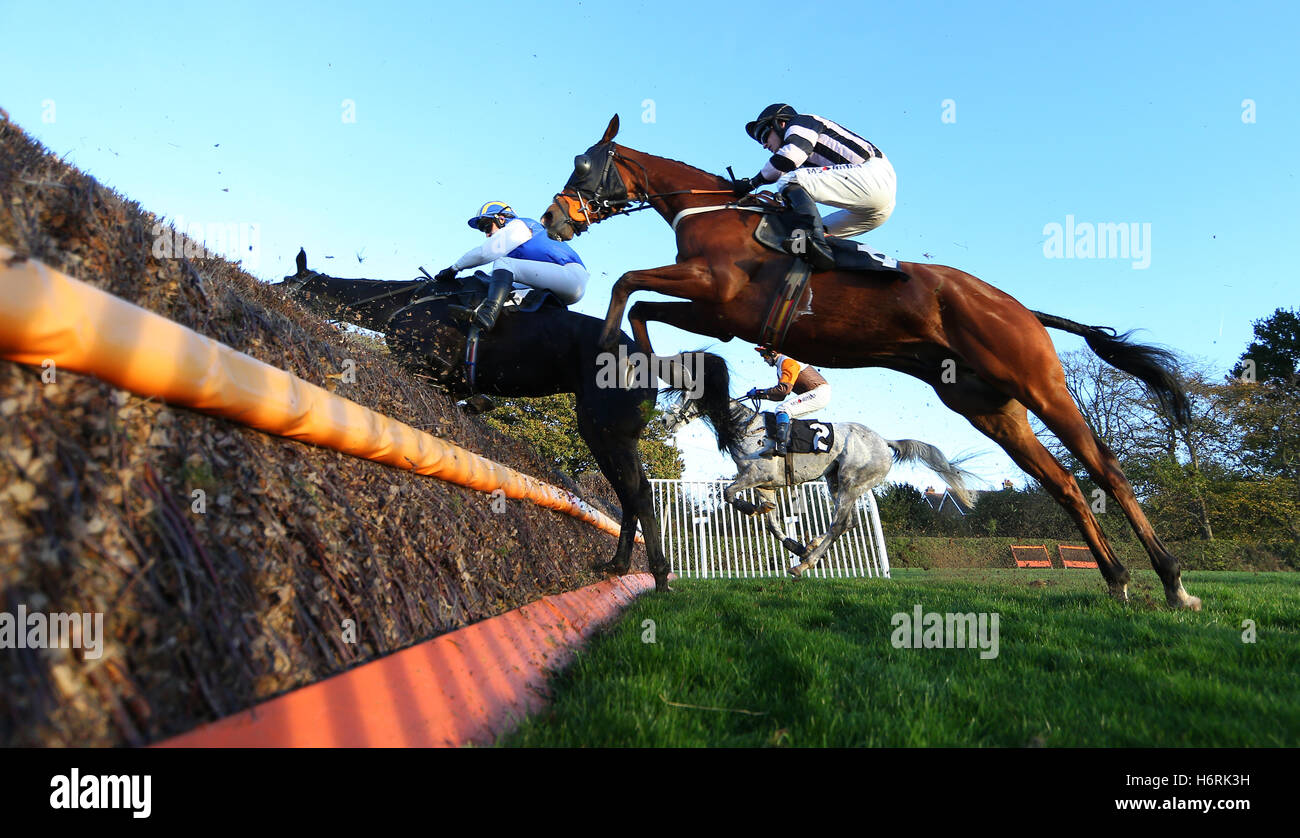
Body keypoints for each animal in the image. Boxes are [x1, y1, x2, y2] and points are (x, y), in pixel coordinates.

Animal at [271, 246, 670, 587]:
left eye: (287, 280)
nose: (270, 288)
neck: (406, 301)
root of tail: (649, 361)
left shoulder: (420, 362)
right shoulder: (445, 378)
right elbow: (467, 397)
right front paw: (476, 404)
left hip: (602, 429)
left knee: (637, 492)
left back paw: (658, 575)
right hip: (612, 434)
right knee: (630, 493)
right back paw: (618, 566)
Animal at [665, 350, 972, 574]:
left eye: (686, 396)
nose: (666, 420)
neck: (747, 427)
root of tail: (884, 442)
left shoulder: (757, 475)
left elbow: (729, 494)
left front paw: (754, 512)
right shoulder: (766, 485)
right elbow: (772, 523)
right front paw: (794, 544)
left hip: (851, 482)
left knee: (839, 524)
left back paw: (805, 564)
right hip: (835, 480)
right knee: (848, 523)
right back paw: (810, 547)